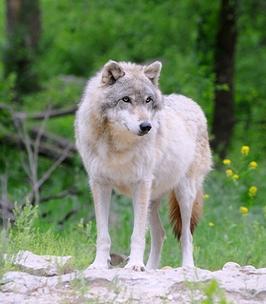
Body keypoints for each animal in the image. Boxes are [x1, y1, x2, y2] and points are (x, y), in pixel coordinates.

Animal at [75, 60, 212, 270]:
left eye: (148, 100)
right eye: (126, 99)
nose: (146, 126)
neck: (119, 147)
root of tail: (192, 103)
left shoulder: (140, 184)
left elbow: (137, 234)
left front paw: (135, 265)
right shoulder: (100, 184)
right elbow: (103, 235)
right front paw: (99, 265)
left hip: (184, 194)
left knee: (186, 235)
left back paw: (187, 267)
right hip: (151, 200)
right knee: (160, 234)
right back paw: (151, 268)